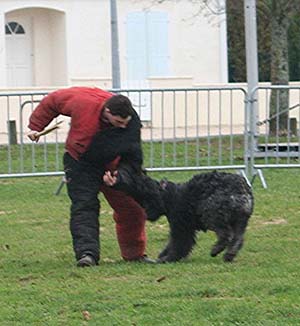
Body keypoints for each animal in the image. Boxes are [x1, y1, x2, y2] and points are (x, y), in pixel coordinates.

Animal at [113, 167, 254, 264]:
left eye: (143, 198)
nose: (146, 214)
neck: (168, 195)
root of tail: (241, 189)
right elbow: (173, 243)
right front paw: (163, 255)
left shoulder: (181, 227)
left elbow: (178, 244)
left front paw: (168, 258)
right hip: (240, 220)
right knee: (237, 238)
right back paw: (229, 254)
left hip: (212, 213)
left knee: (225, 234)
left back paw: (216, 250)